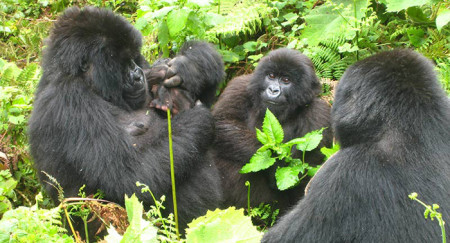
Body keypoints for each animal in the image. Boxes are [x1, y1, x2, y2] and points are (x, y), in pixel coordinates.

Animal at [27, 6, 223, 232]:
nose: (138, 74)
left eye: (133, 59)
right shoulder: (70, 102)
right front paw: (199, 117)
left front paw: (192, 66)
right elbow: (131, 177)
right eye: (122, 63)